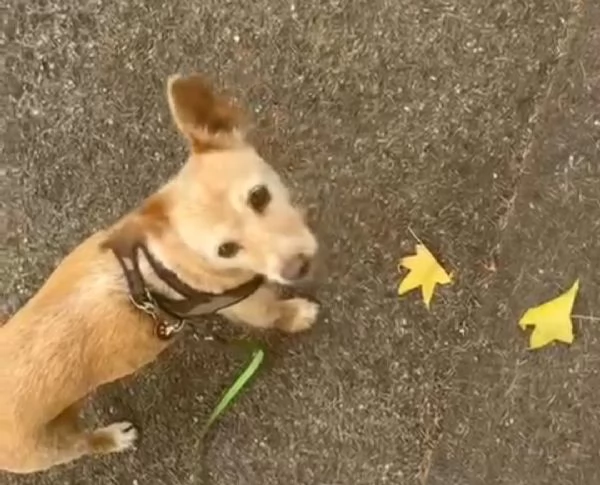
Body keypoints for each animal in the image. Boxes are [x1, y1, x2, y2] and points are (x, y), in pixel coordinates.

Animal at [0, 73, 318, 472]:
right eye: (225, 250)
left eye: (259, 196)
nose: (296, 267)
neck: (166, 257)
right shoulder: (248, 305)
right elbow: (274, 312)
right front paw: (296, 314)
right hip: (47, 447)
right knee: (83, 444)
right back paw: (113, 438)